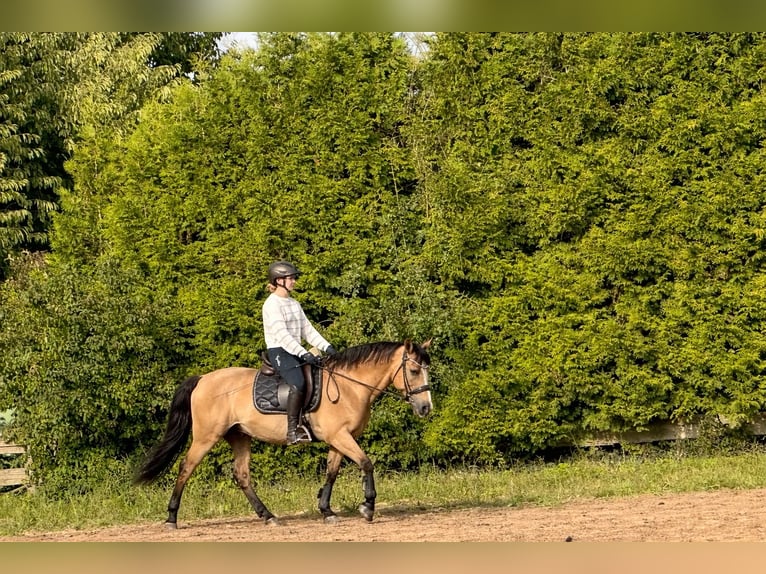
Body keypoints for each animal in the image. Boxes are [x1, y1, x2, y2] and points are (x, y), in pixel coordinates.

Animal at [134, 339, 433, 528]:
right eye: (413, 370)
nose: (425, 407)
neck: (349, 387)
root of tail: (203, 379)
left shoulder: (339, 439)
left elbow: (331, 472)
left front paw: (326, 510)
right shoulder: (340, 437)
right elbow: (366, 463)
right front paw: (367, 507)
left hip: (239, 436)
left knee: (242, 475)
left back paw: (268, 516)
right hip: (206, 437)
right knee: (186, 467)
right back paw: (171, 518)